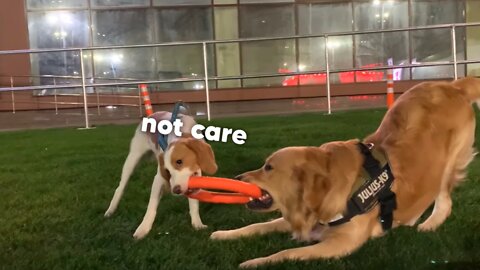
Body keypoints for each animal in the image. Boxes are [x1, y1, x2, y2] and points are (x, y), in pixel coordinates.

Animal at [106, 110, 218, 239]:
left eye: (179, 161)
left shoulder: (196, 176)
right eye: (167, 171)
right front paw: (142, 229)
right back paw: (111, 210)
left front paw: (197, 224)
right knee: (120, 187)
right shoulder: (158, 179)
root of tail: (153, 114)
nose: (175, 190)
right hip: (132, 158)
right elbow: (151, 206)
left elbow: (194, 204)